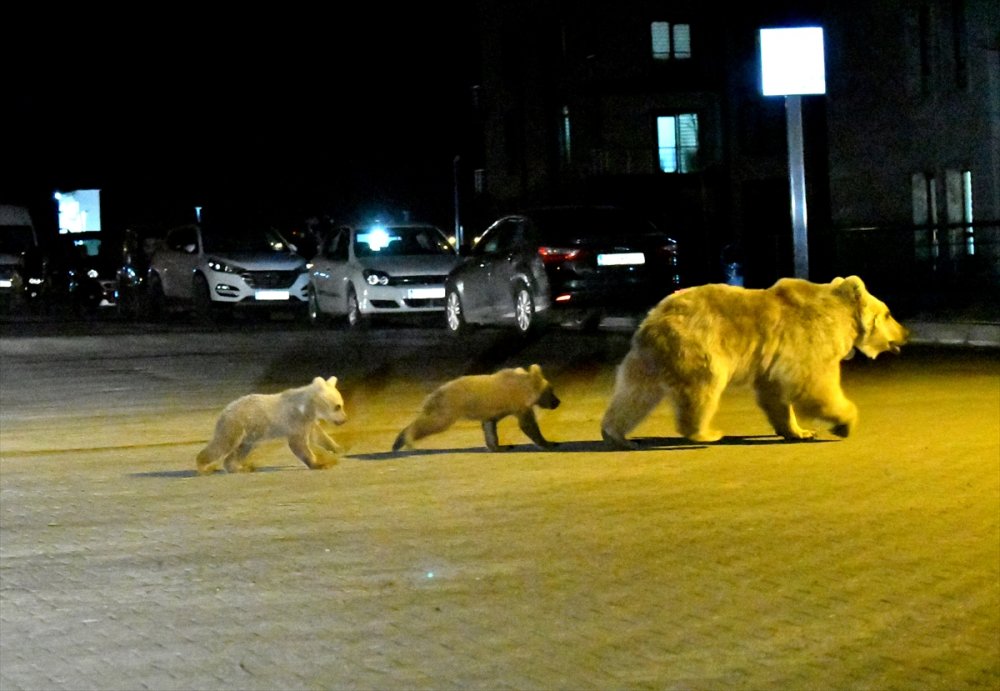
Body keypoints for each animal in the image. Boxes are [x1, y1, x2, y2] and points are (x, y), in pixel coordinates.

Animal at [596, 278, 912, 448]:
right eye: (888, 313)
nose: (906, 334)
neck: (842, 317)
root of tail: (652, 320)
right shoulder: (808, 339)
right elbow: (813, 382)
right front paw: (843, 424)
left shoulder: (775, 360)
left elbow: (775, 394)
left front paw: (799, 431)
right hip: (699, 346)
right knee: (702, 388)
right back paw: (705, 432)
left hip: (648, 359)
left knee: (635, 395)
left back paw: (618, 435)